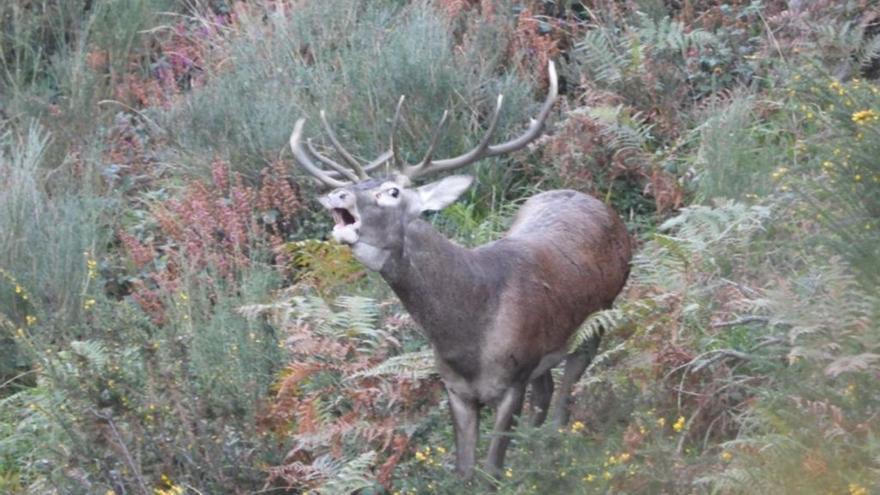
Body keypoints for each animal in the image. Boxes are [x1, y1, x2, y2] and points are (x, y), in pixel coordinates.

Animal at [288, 62, 632, 480]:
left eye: (392, 192)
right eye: (356, 184)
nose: (336, 195)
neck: (467, 337)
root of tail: (600, 205)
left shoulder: (513, 379)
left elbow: (492, 471)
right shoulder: (455, 389)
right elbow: (464, 471)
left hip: (600, 314)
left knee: (568, 388)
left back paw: (553, 443)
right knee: (546, 391)